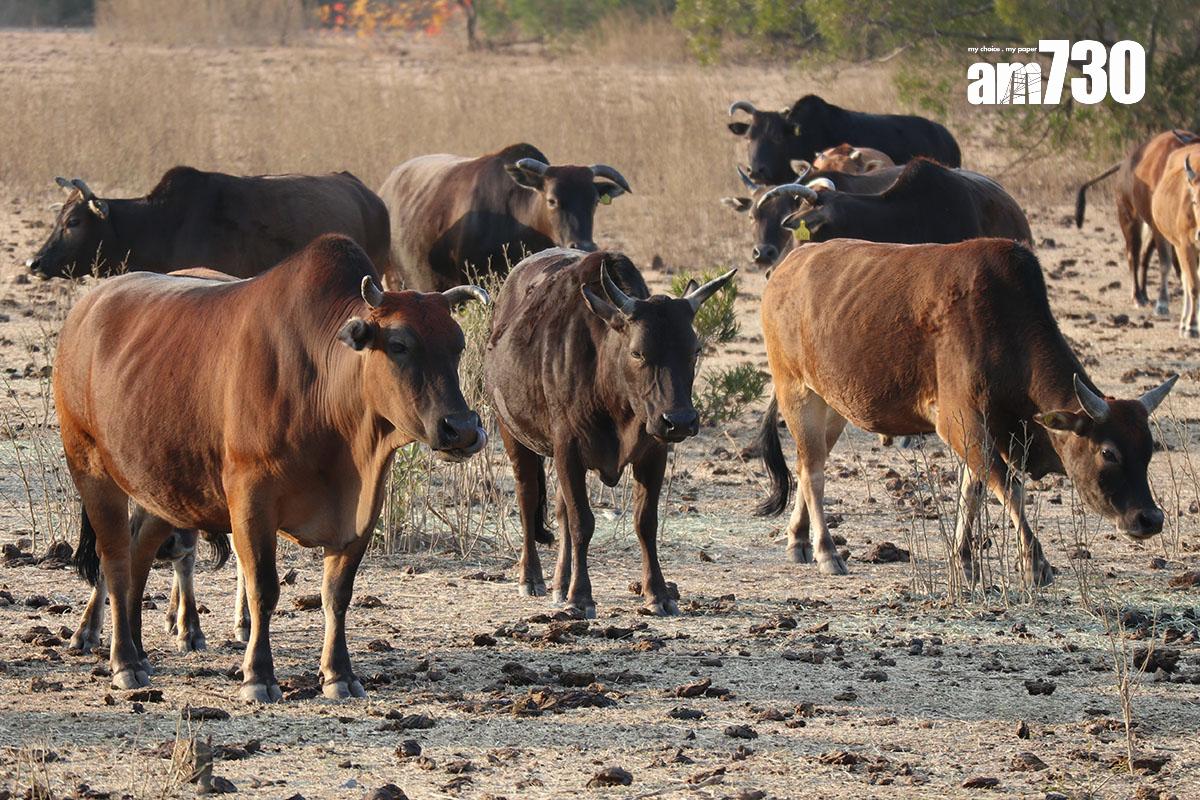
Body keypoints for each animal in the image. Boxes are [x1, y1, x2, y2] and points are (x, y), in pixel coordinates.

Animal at [56, 234, 488, 701]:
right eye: (399, 345)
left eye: (458, 346)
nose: (462, 429)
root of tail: (84, 311)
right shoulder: (251, 500)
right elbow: (263, 589)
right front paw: (259, 675)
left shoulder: (361, 514)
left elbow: (337, 594)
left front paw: (339, 673)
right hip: (92, 469)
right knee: (116, 559)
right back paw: (124, 660)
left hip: (164, 489)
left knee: (140, 553)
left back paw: (140, 648)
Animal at [486, 248, 733, 618]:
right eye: (638, 352)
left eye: (694, 351)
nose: (680, 420)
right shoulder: (568, 450)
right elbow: (582, 523)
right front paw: (581, 596)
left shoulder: (653, 453)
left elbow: (645, 522)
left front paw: (658, 593)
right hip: (513, 434)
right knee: (528, 497)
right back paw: (532, 577)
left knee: (559, 509)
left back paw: (560, 583)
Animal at [755, 238, 1177, 586]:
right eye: (1108, 452)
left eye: (1148, 450)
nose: (1150, 519)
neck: (1004, 326)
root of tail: (786, 268)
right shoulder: (961, 423)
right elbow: (1009, 487)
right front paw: (1035, 564)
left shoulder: (980, 428)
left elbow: (971, 492)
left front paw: (965, 560)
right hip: (797, 392)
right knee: (813, 472)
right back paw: (827, 551)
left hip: (833, 406)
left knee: (807, 463)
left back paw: (798, 540)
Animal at [1076, 129, 1198, 313]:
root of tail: (1125, 164)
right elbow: (1166, 262)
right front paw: (1162, 303)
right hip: (1129, 218)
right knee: (1132, 255)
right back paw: (1137, 297)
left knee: (1144, 256)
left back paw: (1145, 295)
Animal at [1150, 145, 1200, 337]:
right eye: (1195, 201)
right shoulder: (1186, 246)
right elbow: (1193, 286)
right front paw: (1192, 326)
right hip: (1177, 246)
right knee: (1186, 282)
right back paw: (1185, 323)